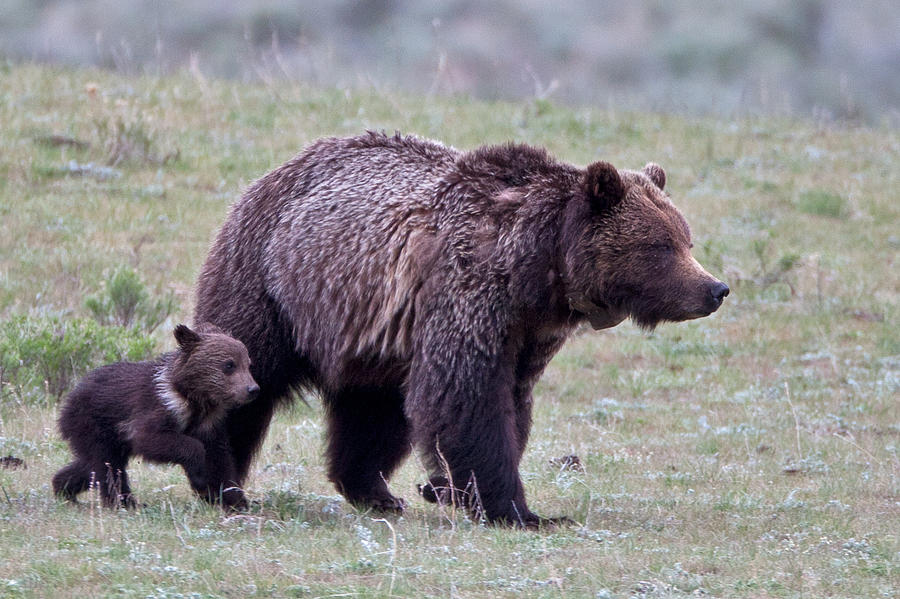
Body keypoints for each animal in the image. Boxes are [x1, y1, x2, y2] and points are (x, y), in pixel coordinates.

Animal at [52, 326, 258, 508]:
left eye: (248, 364)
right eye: (229, 365)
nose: (252, 389)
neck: (194, 400)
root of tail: (68, 400)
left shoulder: (209, 425)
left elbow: (221, 460)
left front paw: (234, 500)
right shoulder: (156, 408)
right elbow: (151, 439)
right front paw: (200, 477)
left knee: (90, 465)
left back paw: (63, 487)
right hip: (92, 423)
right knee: (107, 465)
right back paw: (124, 502)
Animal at [193, 130, 728, 524]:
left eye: (686, 239)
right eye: (661, 245)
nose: (715, 288)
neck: (541, 267)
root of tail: (273, 174)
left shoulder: (527, 332)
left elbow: (509, 401)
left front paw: (442, 487)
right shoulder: (470, 293)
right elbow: (468, 397)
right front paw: (515, 509)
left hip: (370, 333)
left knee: (373, 409)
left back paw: (375, 491)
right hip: (271, 284)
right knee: (242, 371)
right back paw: (222, 484)